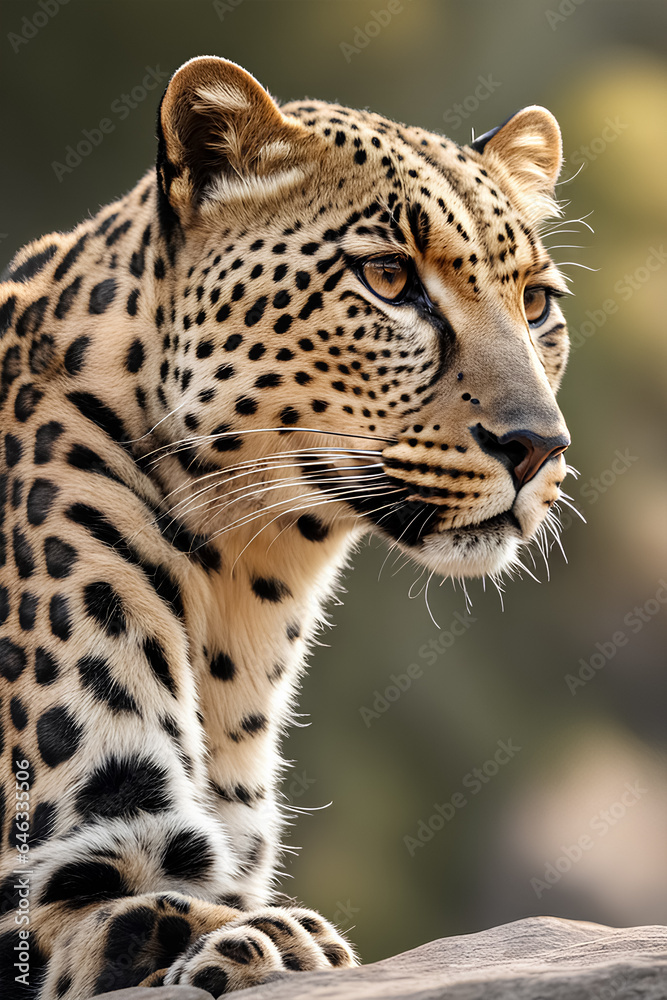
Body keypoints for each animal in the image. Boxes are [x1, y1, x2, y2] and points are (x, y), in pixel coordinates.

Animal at [0, 55, 572, 998]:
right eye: (388, 279)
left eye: (535, 304)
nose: (537, 446)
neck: (244, 569)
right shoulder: (59, 873)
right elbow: (157, 915)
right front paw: (270, 943)